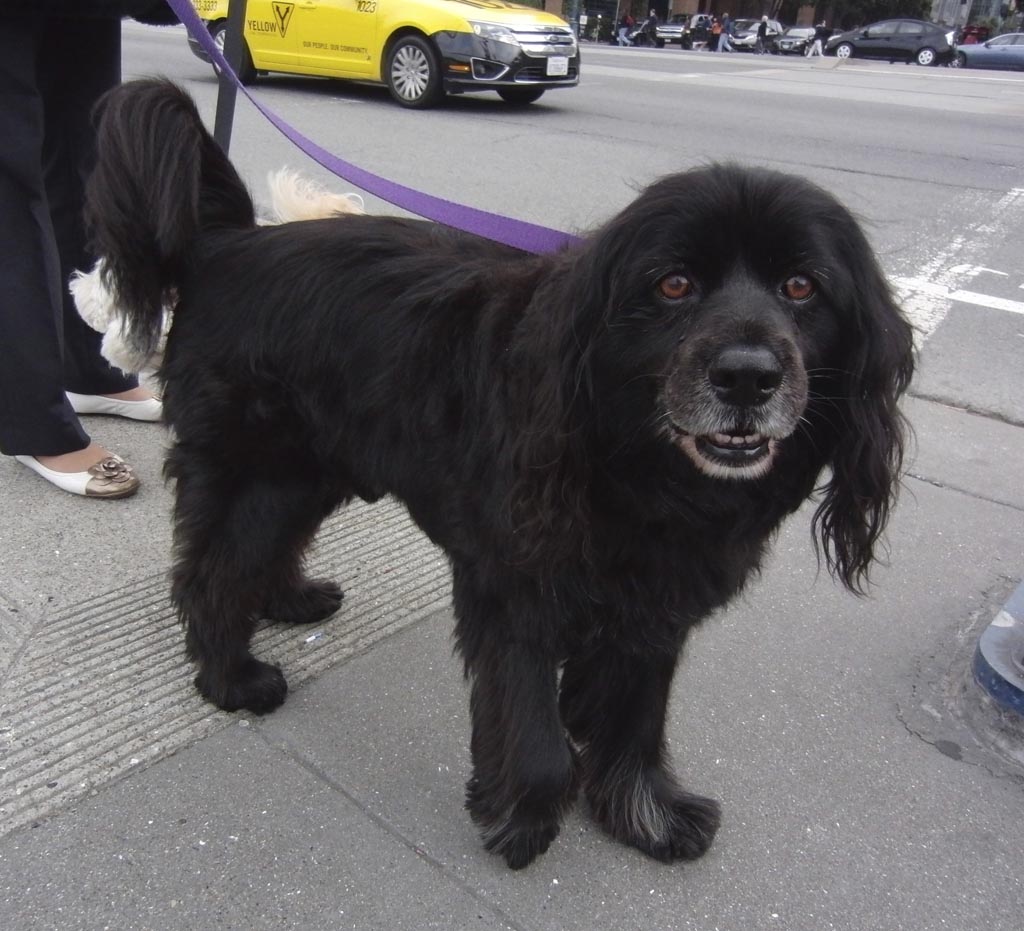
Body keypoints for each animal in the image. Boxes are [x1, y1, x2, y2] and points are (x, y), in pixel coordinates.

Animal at [83, 81, 913, 872]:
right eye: (674, 285)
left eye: (802, 287)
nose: (747, 377)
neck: (636, 460)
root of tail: (227, 241)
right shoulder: (515, 589)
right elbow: (538, 738)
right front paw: (522, 821)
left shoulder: (654, 608)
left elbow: (637, 719)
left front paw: (645, 813)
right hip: (261, 468)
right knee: (209, 572)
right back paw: (232, 679)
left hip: (312, 468)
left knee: (254, 552)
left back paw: (288, 600)